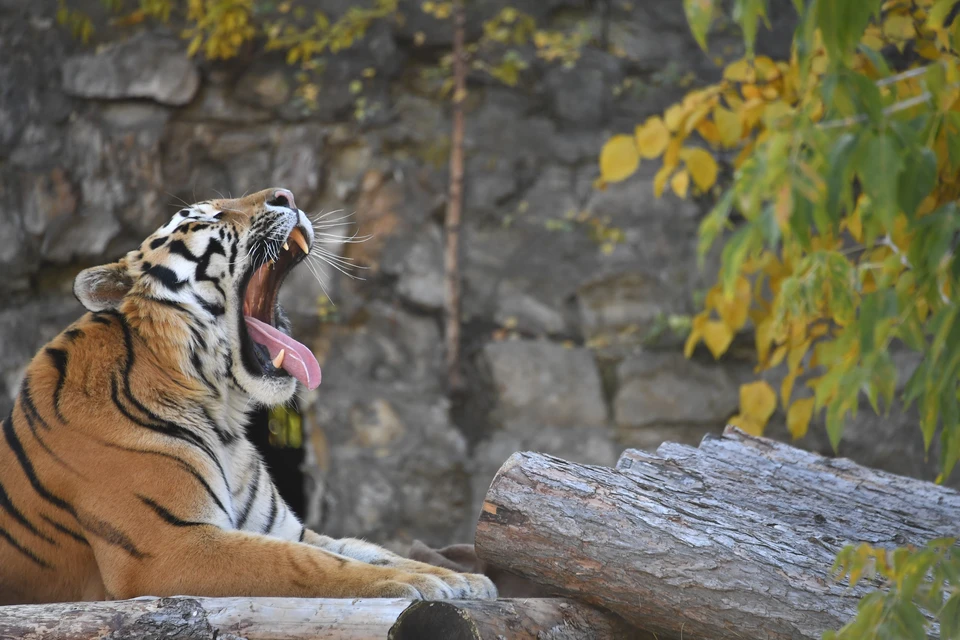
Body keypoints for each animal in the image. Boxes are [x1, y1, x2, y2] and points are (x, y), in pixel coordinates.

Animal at [0, 186, 496, 604]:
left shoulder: (284, 528)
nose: (287, 195)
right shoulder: (171, 545)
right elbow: (308, 564)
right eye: (209, 216)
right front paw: (419, 582)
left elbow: (364, 547)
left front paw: (462, 577)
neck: (220, 413)